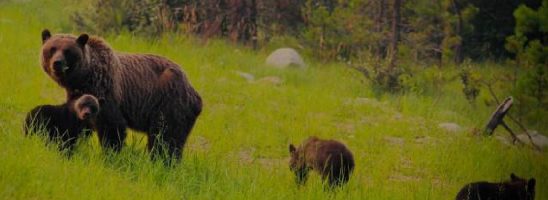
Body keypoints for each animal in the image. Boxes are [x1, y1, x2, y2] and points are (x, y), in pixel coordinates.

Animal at [40, 29, 202, 161]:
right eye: (52, 49)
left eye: (68, 51)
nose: (57, 63)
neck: (84, 78)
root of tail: (195, 93)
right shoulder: (79, 98)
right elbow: (78, 122)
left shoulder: (106, 91)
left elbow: (112, 126)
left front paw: (110, 155)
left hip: (170, 103)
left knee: (166, 138)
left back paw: (162, 162)